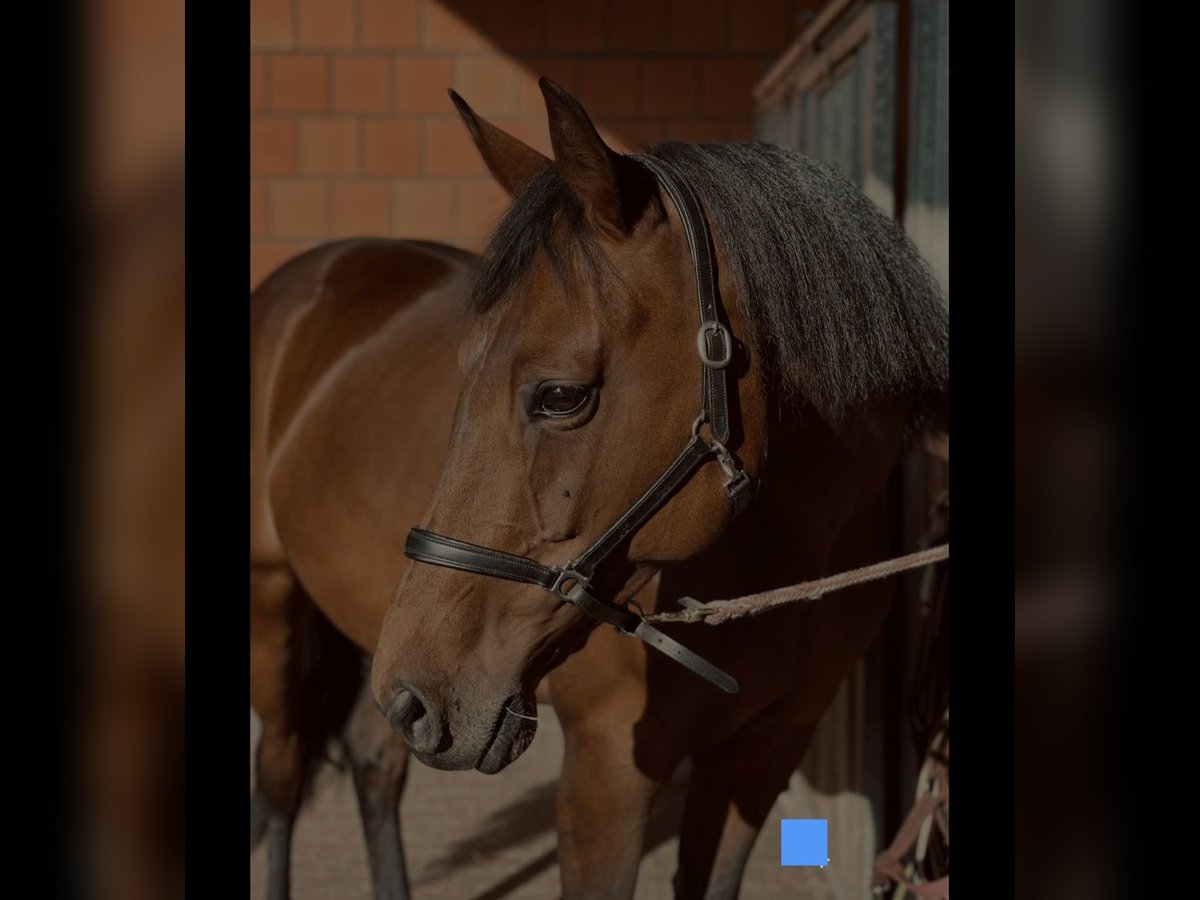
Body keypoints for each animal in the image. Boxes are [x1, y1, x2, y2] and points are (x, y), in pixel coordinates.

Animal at [250, 79, 945, 900]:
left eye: (560, 396)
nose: (417, 691)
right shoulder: (609, 769)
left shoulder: (763, 755)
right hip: (276, 604)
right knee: (281, 777)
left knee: (373, 762)